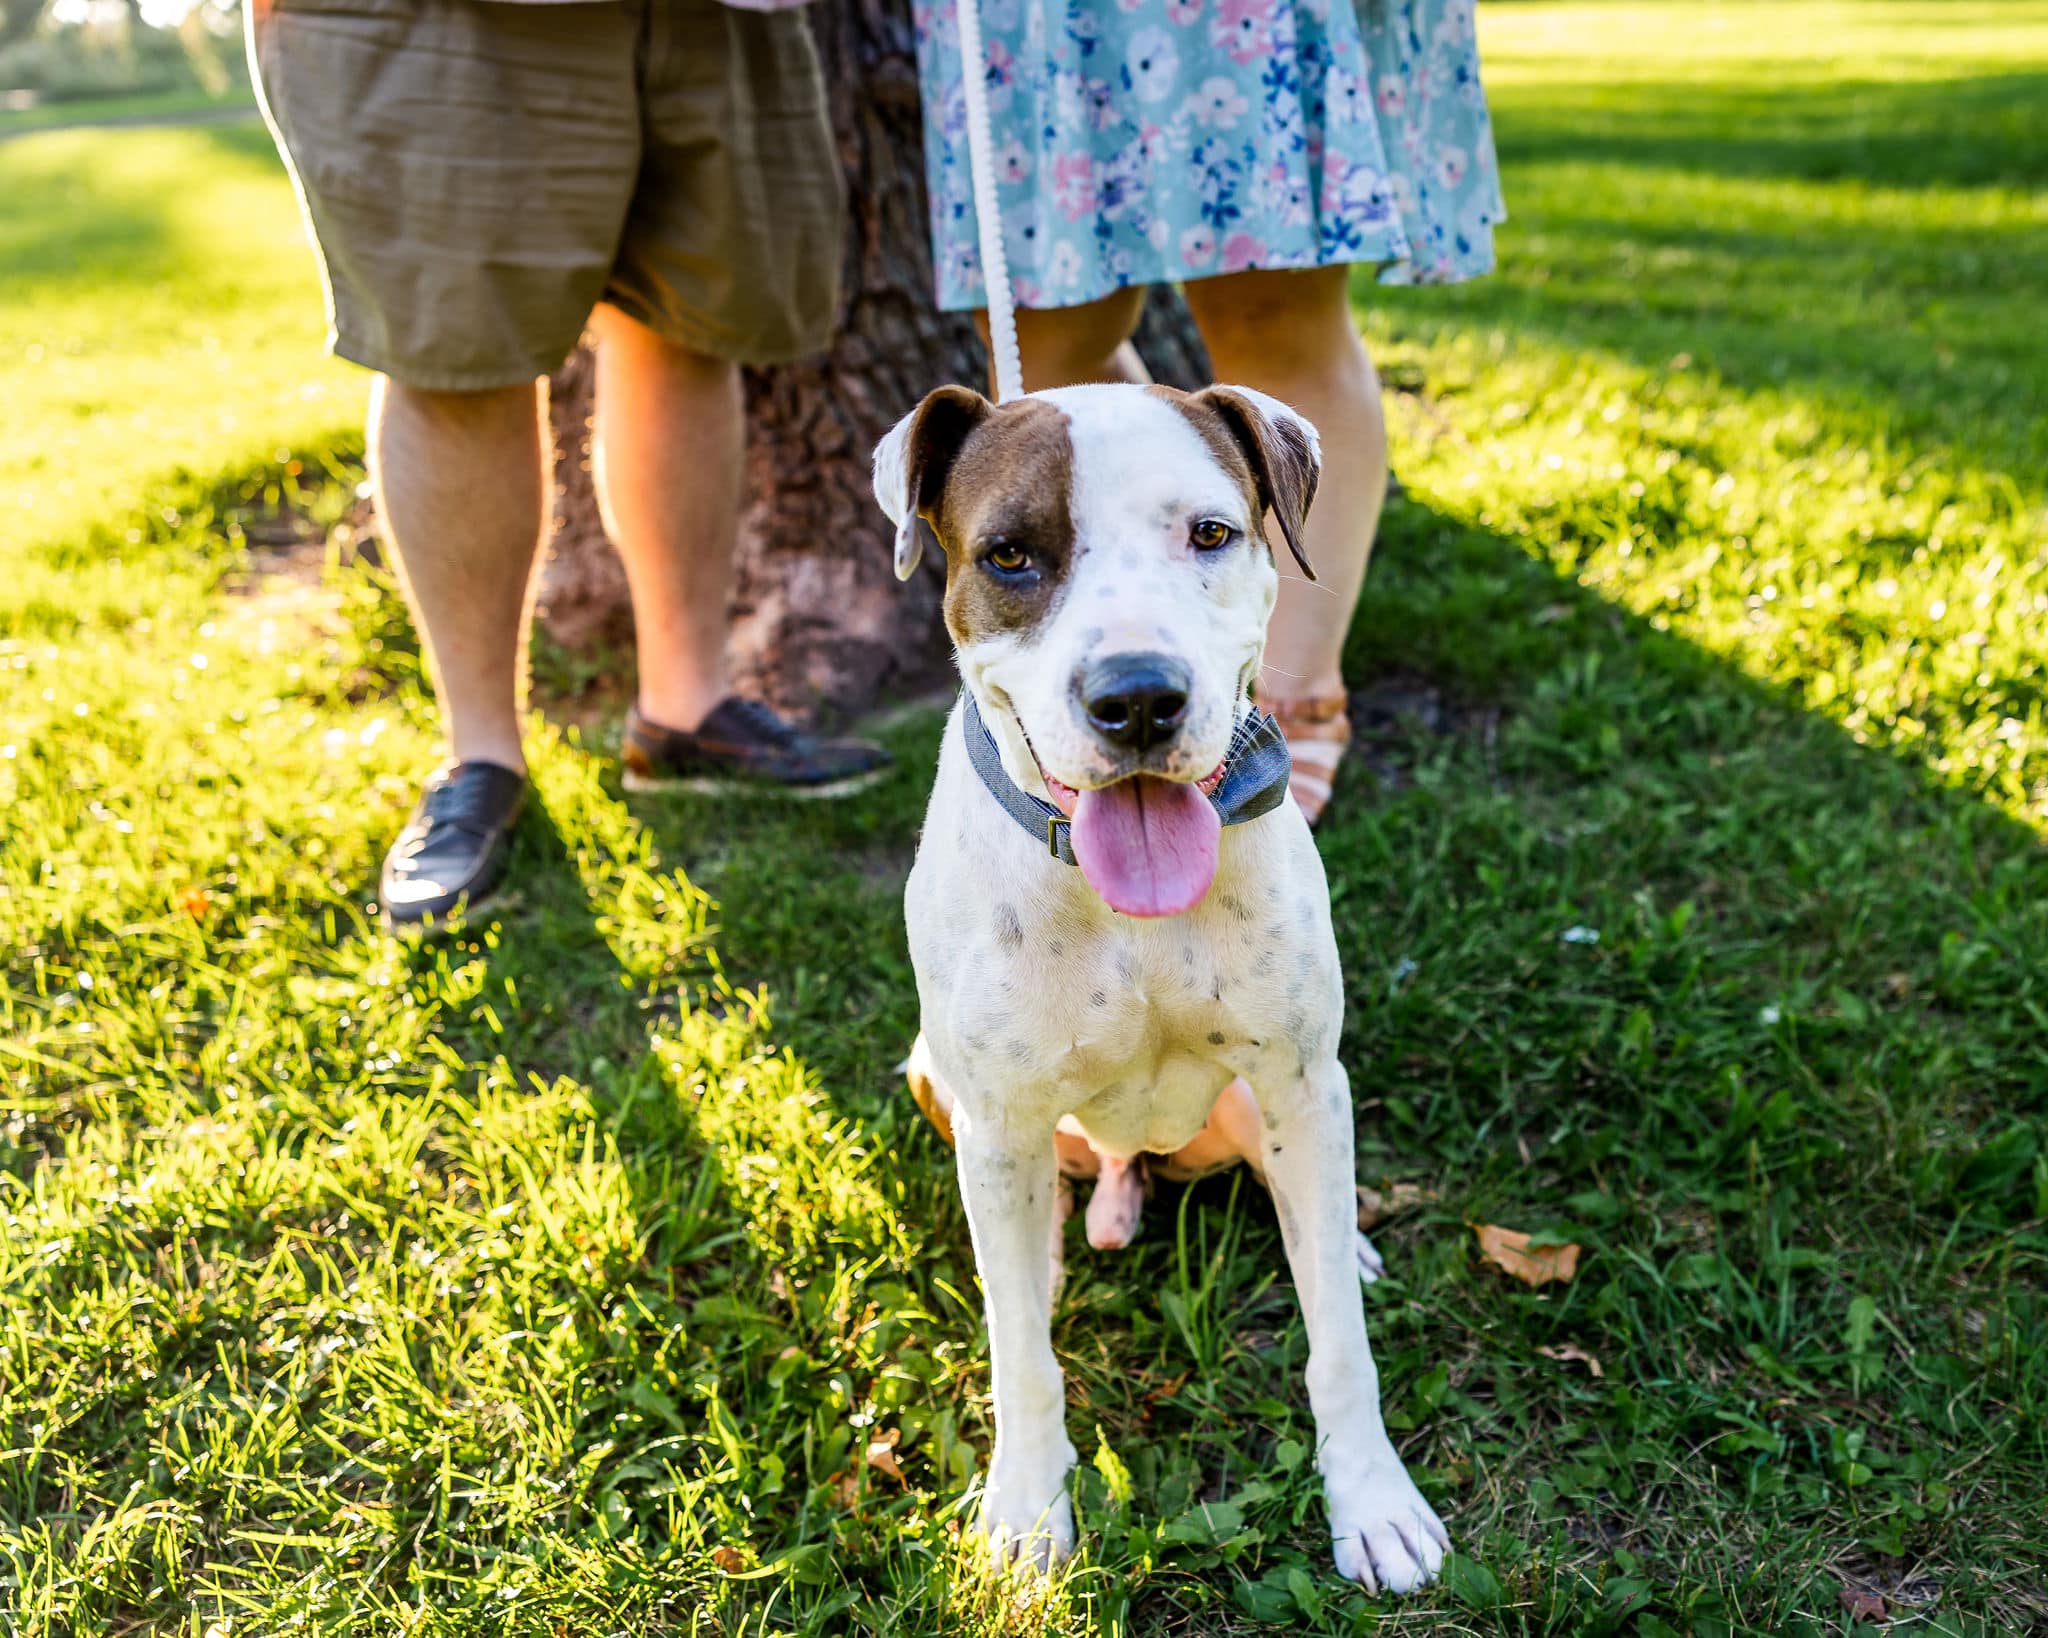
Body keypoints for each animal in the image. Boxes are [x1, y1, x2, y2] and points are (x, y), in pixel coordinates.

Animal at [872, 380, 1449, 1588]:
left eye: (1211, 534)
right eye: (1009, 555)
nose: (1136, 698)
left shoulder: (1299, 1078)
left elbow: (1338, 1342)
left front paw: (1372, 1502)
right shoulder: (994, 1120)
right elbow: (1022, 1357)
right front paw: (1025, 1513)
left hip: (1280, 1107)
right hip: (936, 1084)